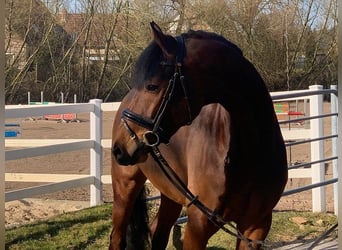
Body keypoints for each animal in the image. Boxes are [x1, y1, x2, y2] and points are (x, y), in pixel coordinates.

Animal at [111, 22, 288, 249]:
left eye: (152, 86)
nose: (120, 147)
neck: (250, 153)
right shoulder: (198, 227)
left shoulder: (256, 227)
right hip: (125, 187)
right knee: (117, 237)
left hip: (171, 194)